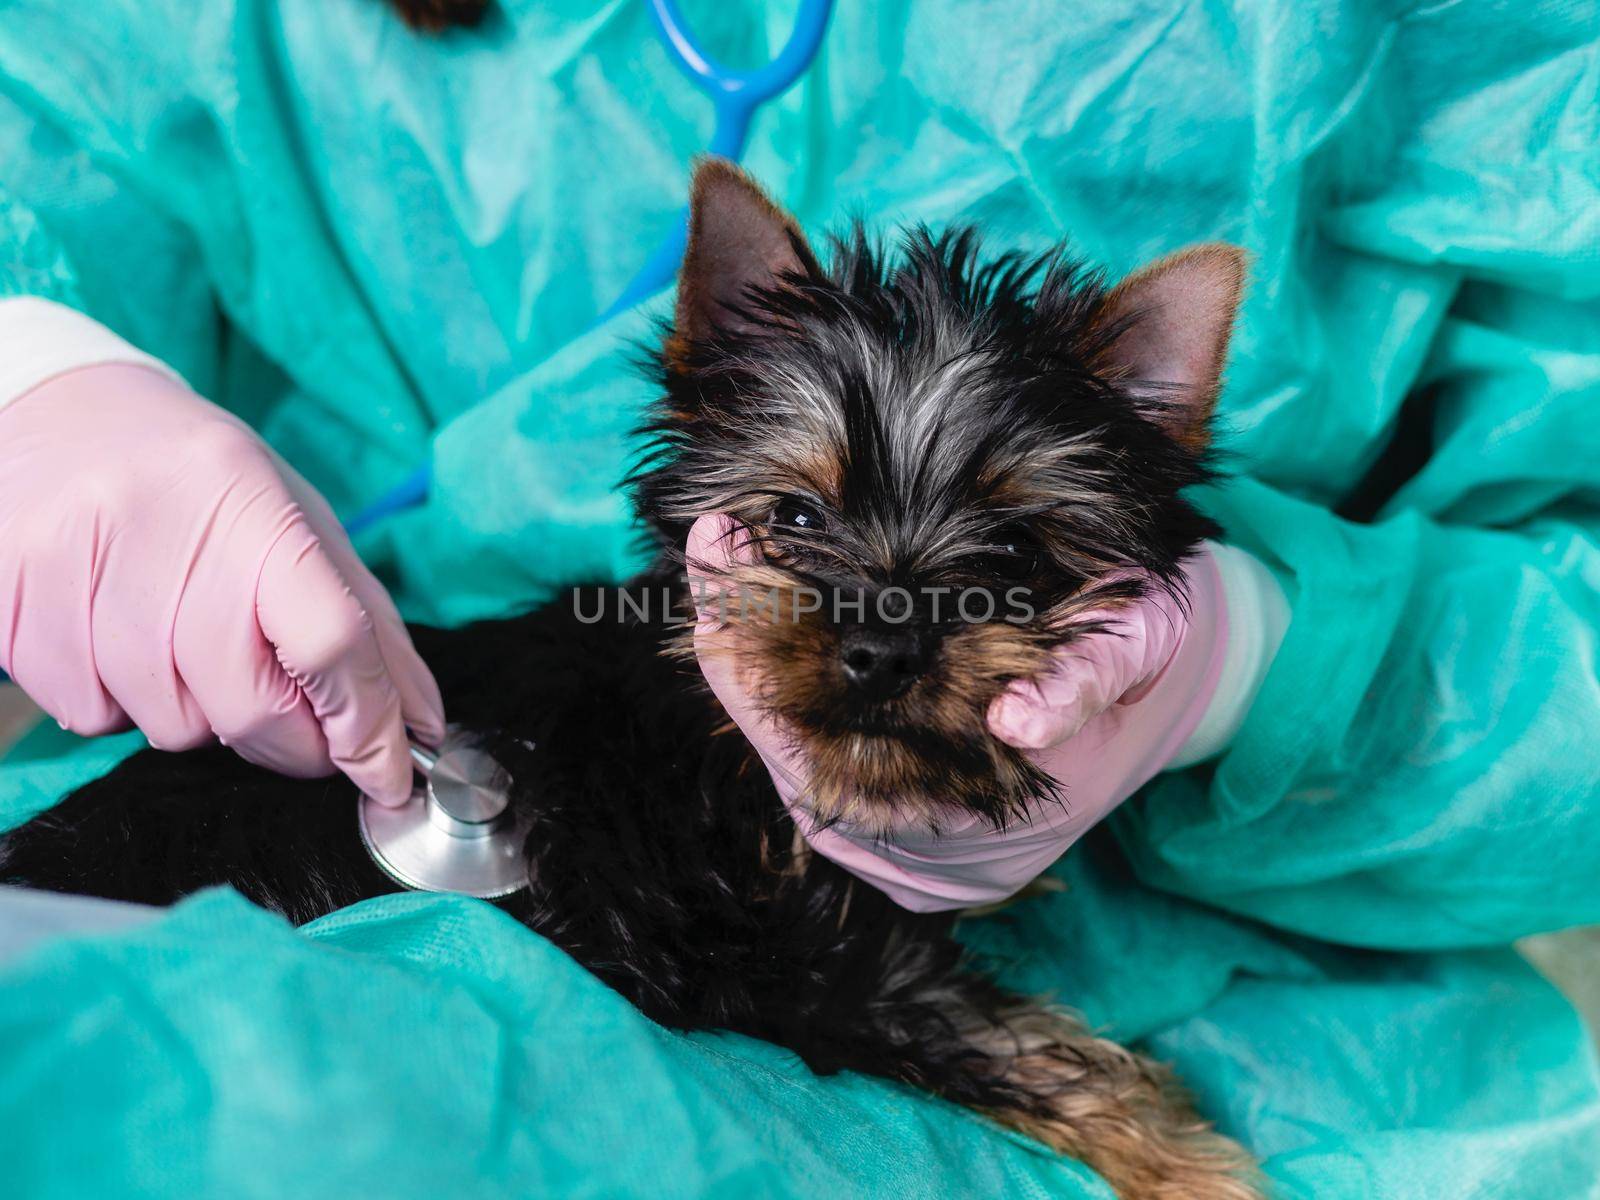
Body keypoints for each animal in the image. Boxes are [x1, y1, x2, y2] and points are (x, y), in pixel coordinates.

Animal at [0, 162, 1254, 1200]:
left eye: (1010, 557)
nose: (882, 647)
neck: (736, 747)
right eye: (795, 519)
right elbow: (1020, 1042)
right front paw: (1201, 1166)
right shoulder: (808, 969)